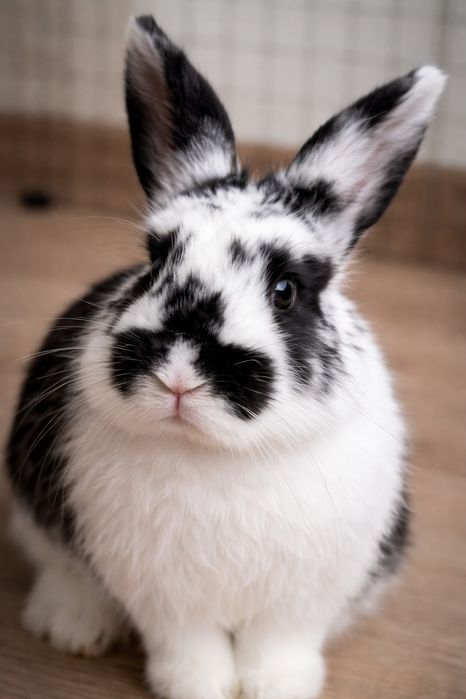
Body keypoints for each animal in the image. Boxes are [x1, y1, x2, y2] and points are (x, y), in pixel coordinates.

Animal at [6, 15, 445, 699]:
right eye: (155, 260)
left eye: (286, 289)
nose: (179, 374)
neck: (220, 457)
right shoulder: (166, 598)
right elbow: (190, 648)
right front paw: (199, 688)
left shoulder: (301, 601)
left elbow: (279, 648)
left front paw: (279, 688)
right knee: (61, 569)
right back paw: (72, 630)